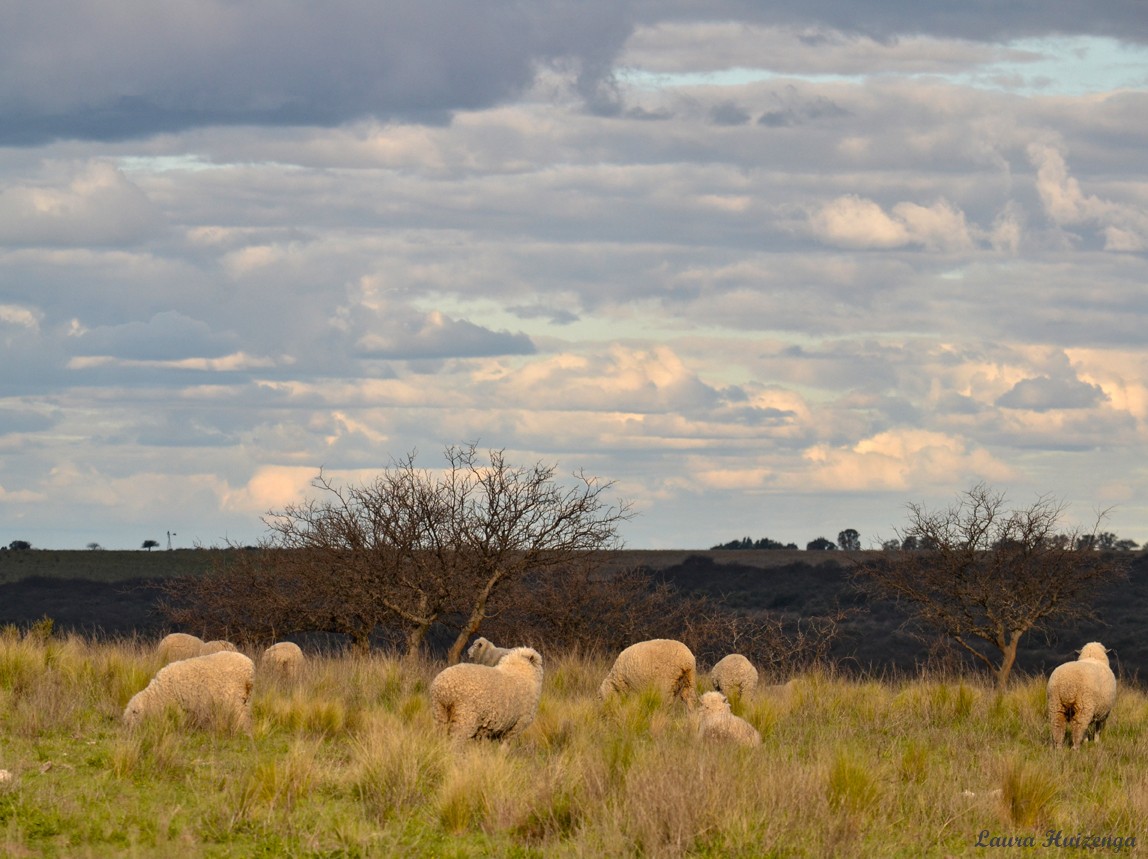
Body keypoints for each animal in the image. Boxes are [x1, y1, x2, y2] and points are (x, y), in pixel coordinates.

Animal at [124, 652, 257, 730]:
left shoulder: (176, 706)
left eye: (134, 713)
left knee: (241, 716)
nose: (127, 729)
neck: (157, 694)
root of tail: (249, 667)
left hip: (234, 697)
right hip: (246, 698)